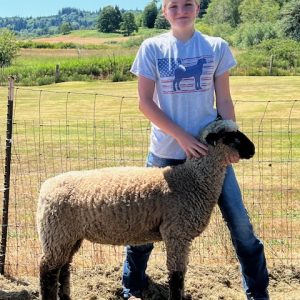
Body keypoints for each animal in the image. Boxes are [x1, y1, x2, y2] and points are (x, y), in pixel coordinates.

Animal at [35, 119, 255, 300]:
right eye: (231, 137)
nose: (252, 149)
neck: (192, 179)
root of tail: (46, 187)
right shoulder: (176, 233)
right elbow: (176, 277)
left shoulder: (178, 235)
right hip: (56, 233)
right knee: (47, 270)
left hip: (69, 235)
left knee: (64, 268)